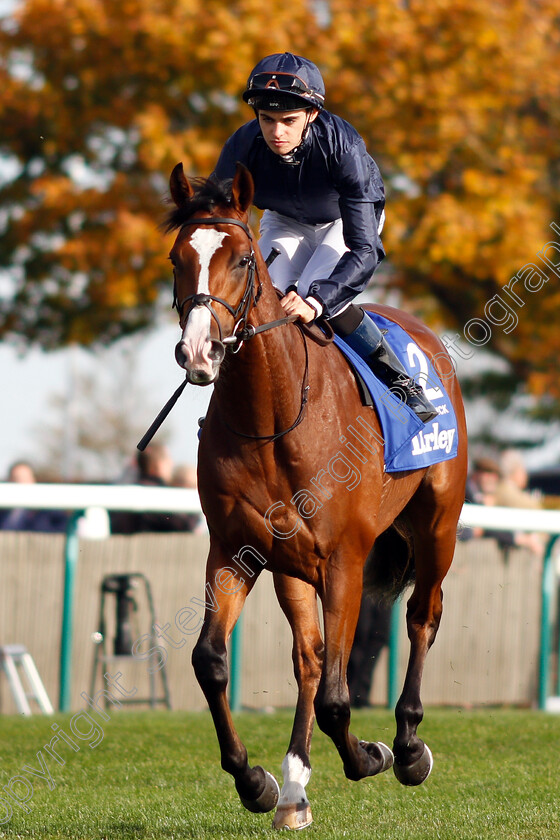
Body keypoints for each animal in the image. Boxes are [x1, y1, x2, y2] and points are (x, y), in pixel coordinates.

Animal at [165, 161, 468, 832]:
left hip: (437, 525)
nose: (199, 351)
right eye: (177, 258)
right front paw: (256, 782)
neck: (273, 417)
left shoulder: (345, 560)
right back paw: (294, 789)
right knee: (307, 656)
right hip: (292, 569)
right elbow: (210, 661)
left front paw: (374, 755)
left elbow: (337, 696)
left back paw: (409, 745)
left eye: (243, 259)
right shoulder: (235, 551)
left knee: (422, 616)